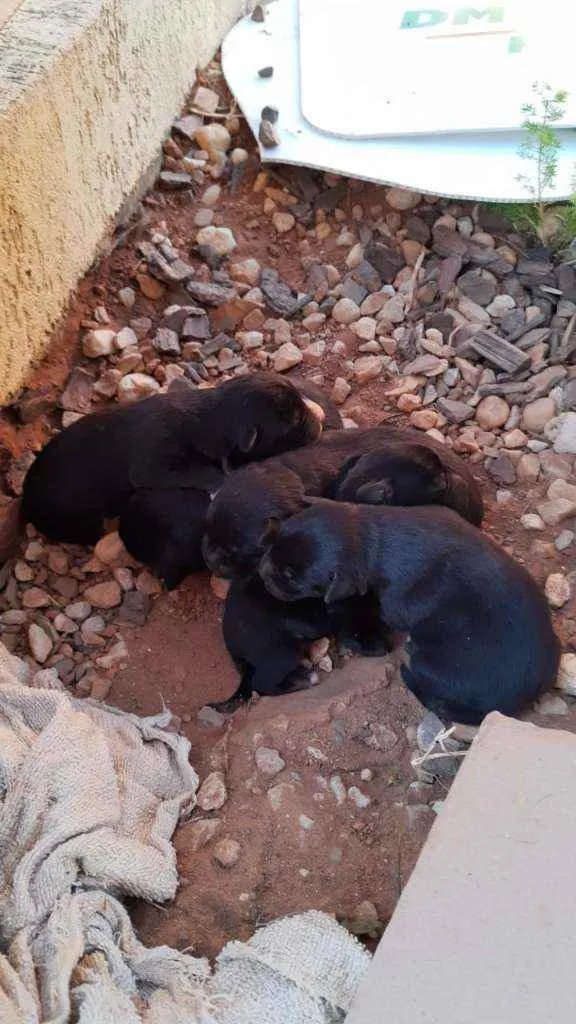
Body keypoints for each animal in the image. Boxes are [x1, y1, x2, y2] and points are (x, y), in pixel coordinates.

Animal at [21, 372, 332, 548]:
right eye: (293, 421)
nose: (322, 414)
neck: (211, 417)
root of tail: (26, 498)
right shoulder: (154, 462)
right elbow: (198, 471)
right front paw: (221, 483)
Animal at [212, 577, 393, 712]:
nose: (386, 648)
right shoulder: (341, 615)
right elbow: (349, 628)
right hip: (284, 650)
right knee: (261, 682)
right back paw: (306, 679)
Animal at [258, 503, 557, 729]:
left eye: (292, 577)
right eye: (273, 547)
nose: (262, 573)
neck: (370, 535)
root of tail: (511, 703)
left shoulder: (397, 602)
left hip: (430, 661)